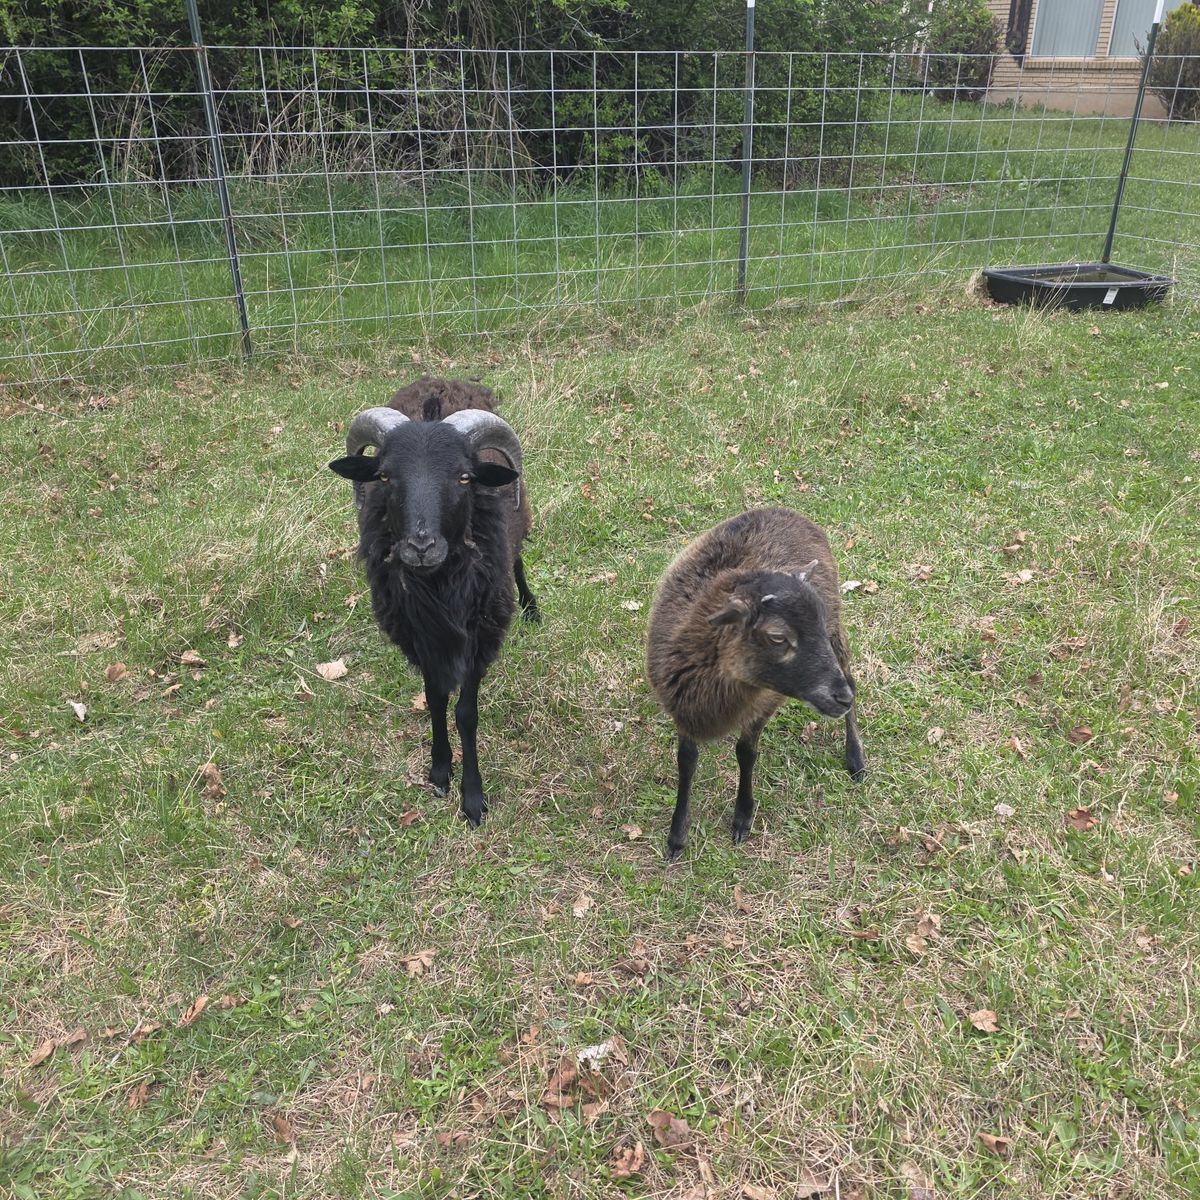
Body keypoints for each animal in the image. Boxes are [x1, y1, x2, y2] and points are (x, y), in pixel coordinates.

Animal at [327, 377, 538, 827]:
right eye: (385, 476)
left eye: (464, 477)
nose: (420, 547)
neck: (437, 585)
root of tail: (440, 381)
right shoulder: (416, 636)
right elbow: (436, 699)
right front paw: (440, 770)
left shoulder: (480, 637)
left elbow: (465, 714)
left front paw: (473, 798)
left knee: (517, 561)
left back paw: (532, 607)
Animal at [645, 507, 864, 861]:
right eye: (777, 637)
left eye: (817, 621)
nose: (840, 697)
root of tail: (783, 509)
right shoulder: (682, 707)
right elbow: (686, 761)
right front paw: (677, 837)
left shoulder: (763, 703)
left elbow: (746, 752)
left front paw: (742, 816)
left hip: (838, 635)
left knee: (854, 680)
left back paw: (856, 758)